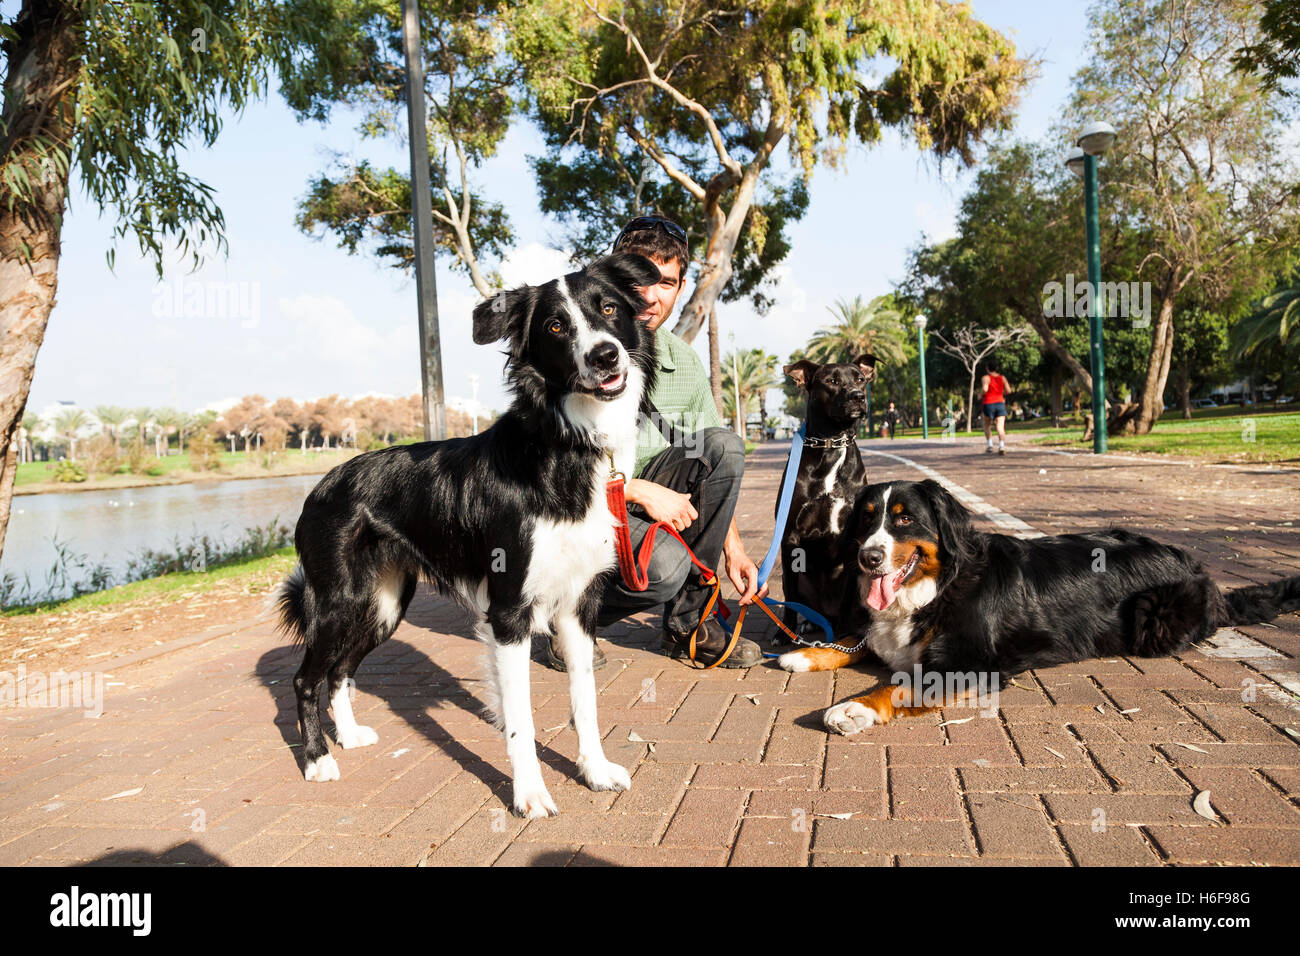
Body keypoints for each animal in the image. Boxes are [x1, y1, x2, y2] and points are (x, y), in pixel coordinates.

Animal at [274, 252, 660, 816]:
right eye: (555, 326)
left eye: (609, 308)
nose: (605, 356)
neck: (566, 443)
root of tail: (322, 484)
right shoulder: (509, 612)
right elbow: (520, 718)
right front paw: (529, 795)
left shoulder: (578, 605)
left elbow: (585, 700)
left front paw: (594, 772)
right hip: (339, 600)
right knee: (305, 678)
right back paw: (317, 759)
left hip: (383, 605)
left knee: (340, 670)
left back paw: (347, 736)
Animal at [774, 481, 1300, 738]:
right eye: (866, 522)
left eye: (903, 520)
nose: (868, 557)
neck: (937, 587)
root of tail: (1198, 567)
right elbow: (854, 638)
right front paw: (806, 652)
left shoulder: (970, 664)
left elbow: (897, 685)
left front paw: (852, 709)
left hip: (1155, 615)